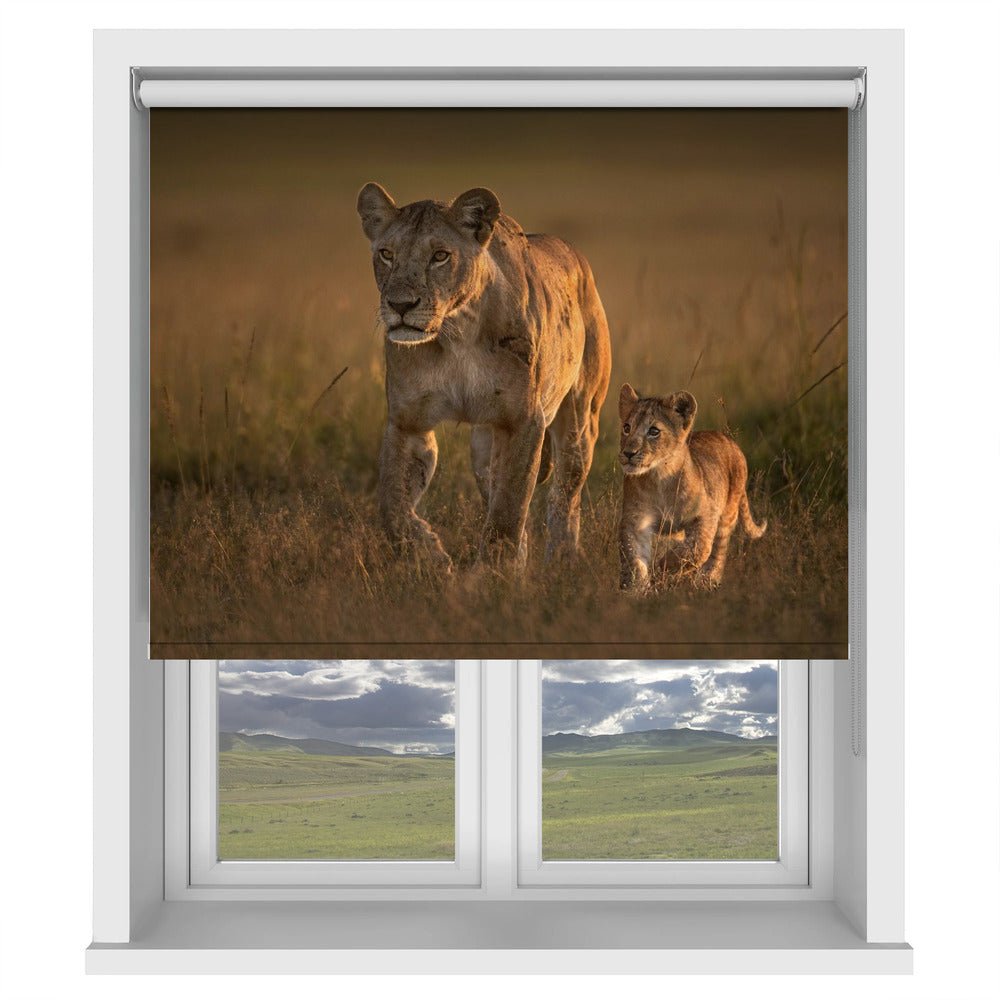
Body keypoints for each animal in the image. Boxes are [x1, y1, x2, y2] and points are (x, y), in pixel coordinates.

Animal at [357, 182, 612, 568]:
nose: (400, 305)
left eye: (440, 256)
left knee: (564, 497)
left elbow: (507, 512)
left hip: (580, 421)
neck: (456, 332)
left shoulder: (523, 421)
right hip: (483, 447)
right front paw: (431, 556)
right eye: (386, 254)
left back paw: (562, 561)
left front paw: (495, 575)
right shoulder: (408, 423)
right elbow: (392, 508)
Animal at [616, 383, 766, 591]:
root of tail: (729, 440)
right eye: (626, 428)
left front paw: (663, 566)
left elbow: (698, 548)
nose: (629, 453)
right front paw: (635, 589)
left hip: (727, 514)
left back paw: (706, 581)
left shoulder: (706, 514)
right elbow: (634, 559)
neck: (659, 478)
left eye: (654, 431)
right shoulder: (635, 521)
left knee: (718, 552)